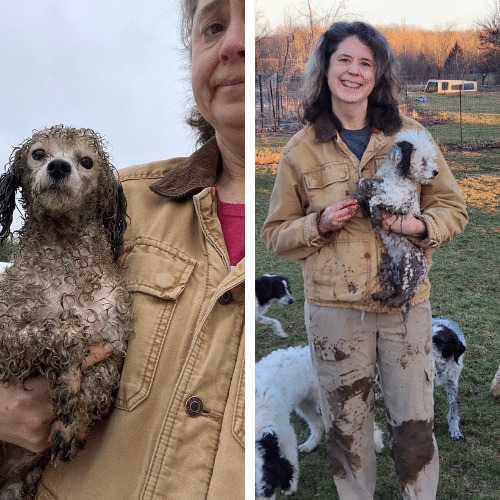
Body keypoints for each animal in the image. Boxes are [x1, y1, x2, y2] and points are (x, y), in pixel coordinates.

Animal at [0, 125, 133, 500]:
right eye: (38, 154)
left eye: (86, 161)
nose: (59, 166)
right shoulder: (6, 337)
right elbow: (63, 332)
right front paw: (68, 380)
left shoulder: (114, 346)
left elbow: (100, 383)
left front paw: (70, 426)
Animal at [356, 129, 438, 320]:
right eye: (423, 160)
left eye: (430, 159)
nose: (436, 172)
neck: (394, 176)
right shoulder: (376, 186)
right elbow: (364, 183)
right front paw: (360, 199)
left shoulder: (399, 205)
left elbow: (376, 201)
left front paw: (375, 217)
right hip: (385, 264)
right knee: (392, 288)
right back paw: (380, 295)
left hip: (410, 263)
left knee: (404, 294)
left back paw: (393, 301)